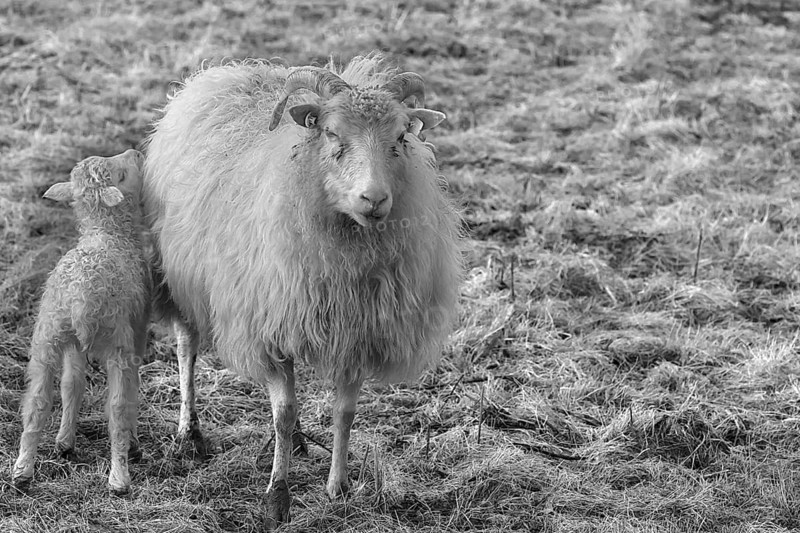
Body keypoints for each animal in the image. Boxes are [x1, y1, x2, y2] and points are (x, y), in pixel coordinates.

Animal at [12, 150, 151, 495]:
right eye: (123, 174)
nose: (135, 153)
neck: (108, 233)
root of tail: (80, 297)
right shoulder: (137, 331)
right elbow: (130, 392)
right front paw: (134, 443)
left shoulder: (73, 344)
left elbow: (71, 385)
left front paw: (65, 441)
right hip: (117, 341)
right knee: (116, 407)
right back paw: (119, 477)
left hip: (47, 335)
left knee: (37, 403)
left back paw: (22, 471)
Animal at [143, 54, 462, 528]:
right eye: (331, 132)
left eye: (402, 137)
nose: (374, 199)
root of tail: (234, 70)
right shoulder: (268, 328)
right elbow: (283, 412)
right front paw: (278, 497)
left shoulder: (356, 333)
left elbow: (344, 413)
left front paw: (339, 487)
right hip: (179, 276)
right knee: (187, 349)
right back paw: (190, 434)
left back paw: (294, 443)